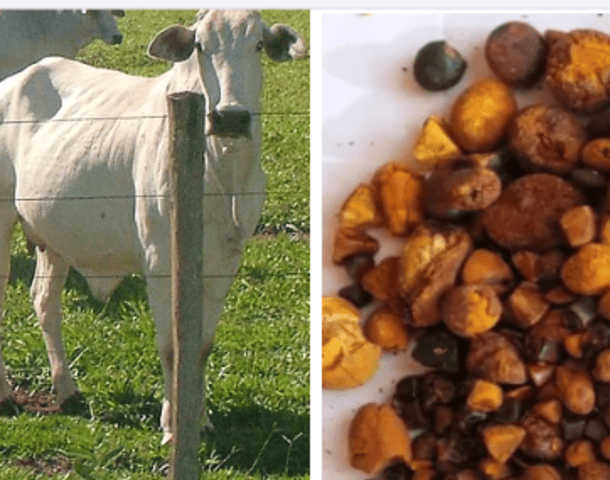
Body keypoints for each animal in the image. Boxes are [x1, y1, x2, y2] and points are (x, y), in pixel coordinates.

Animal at [0, 9, 306, 444]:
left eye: (259, 45)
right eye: (200, 46)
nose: (230, 117)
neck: (221, 172)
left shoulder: (224, 264)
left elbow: (200, 346)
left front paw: (199, 418)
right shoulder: (160, 263)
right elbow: (172, 346)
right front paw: (171, 425)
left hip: (55, 237)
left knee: (45, 303)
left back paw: (66, 389)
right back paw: (6, 393)